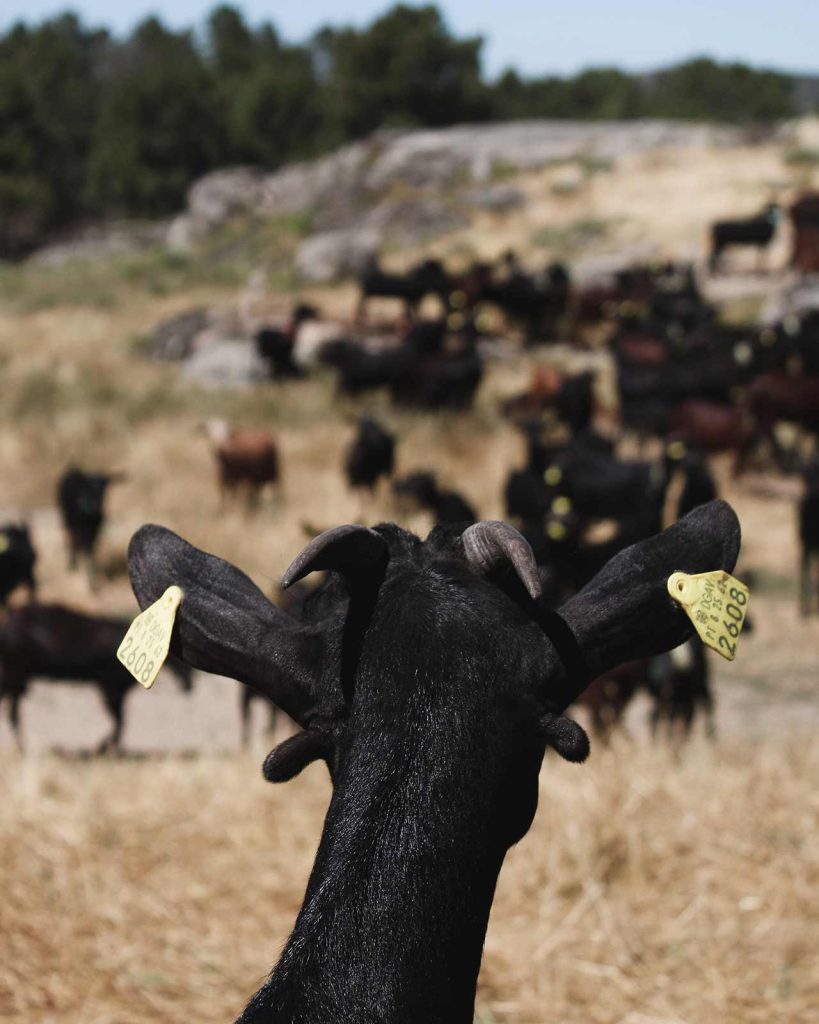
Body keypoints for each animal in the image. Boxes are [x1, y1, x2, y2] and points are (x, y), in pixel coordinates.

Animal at [0, 603, 192, 751]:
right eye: (180, 661)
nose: (189, 687)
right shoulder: (110, 688)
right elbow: (119, 721)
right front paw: (104, 746)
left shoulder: (116, 692)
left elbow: (120, 721)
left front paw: (108, 746)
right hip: (15, 675)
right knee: (12, 711)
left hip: (17, 677)